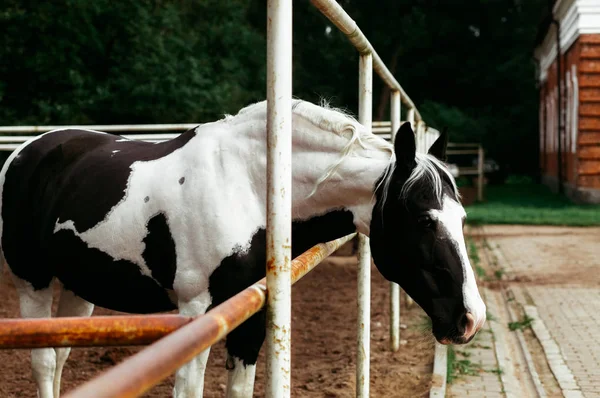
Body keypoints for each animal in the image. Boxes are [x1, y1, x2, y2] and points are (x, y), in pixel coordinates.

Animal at [0, 97, 486, 398]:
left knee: (60, 354)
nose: (471, 319)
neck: (248, 185)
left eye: (462, 218)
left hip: (78, 289)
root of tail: (27, 151)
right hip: (32, 281)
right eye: (424, 220)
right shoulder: (196, 314)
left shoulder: (251, 314)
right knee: (44, 362)